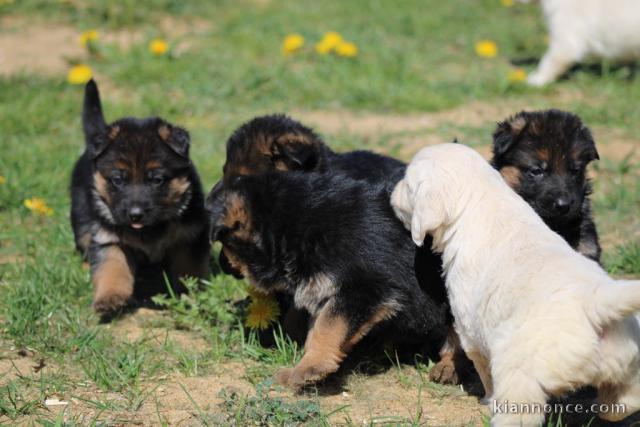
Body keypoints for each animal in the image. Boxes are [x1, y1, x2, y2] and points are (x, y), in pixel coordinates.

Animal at [70, 79, 210, 318]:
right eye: (118, 180)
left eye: (157, 180)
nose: (135, 215)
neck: (150, 229)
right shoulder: (108, 237)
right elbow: (111, 268)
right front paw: (109, 298)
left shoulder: (191, 235)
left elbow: (189, 270)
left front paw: (189, 294)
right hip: (81, 216)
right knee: (85, 240)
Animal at [208, 171, 448, 392]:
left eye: (224, 244)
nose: (220, 264)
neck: (294, 224)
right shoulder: (327, 292)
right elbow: (319, 328)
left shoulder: (365, 290)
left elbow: (328, 325)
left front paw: (310, 368)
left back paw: (447, 366)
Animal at [390, 143, 640, 424]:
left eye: (408, 184)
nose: (391, 193)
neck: (481, 200)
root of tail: (596, 302)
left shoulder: (470, 330)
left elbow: (482, 367)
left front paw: (488, 398)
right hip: (627, 361)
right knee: (627, 400)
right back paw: (606, 408)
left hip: (518, 373)